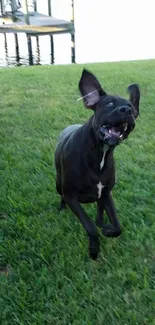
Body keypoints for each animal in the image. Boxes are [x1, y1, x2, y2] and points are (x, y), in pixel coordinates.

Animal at [54, 68, 140, 258]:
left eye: (132, 109)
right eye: (109, 104)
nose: (126, 110)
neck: (99, 154)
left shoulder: (107, 193)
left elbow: (117, 226)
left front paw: (108, 231)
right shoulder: (71, 196)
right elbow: (90, 226)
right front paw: (94, 250)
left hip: (100, 194)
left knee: (99, 207)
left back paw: (101, 222)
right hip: (58, 183)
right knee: (61, 195)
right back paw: (62, 209)